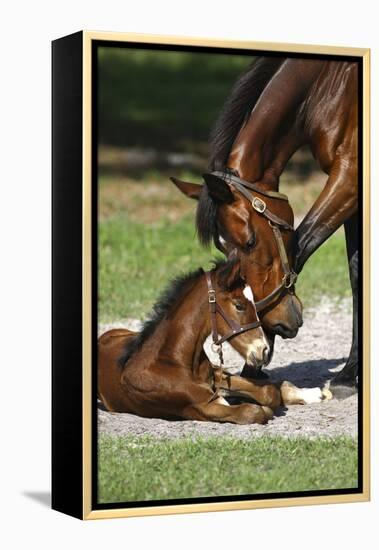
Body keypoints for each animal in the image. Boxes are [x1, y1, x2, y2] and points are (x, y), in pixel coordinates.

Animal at [98, 260, 332, 426]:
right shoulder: (199, 407)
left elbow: (269, 392)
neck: (173, 361)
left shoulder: (217, 375)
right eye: (239, 305)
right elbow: (254, 410)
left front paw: (308, 393)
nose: (263, 351)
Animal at [172, 58, 360, 398]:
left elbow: (299, 246)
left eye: (249, 242)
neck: (326, 84)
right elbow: (354, 274)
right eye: (222, 247)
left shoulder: (349, 176)